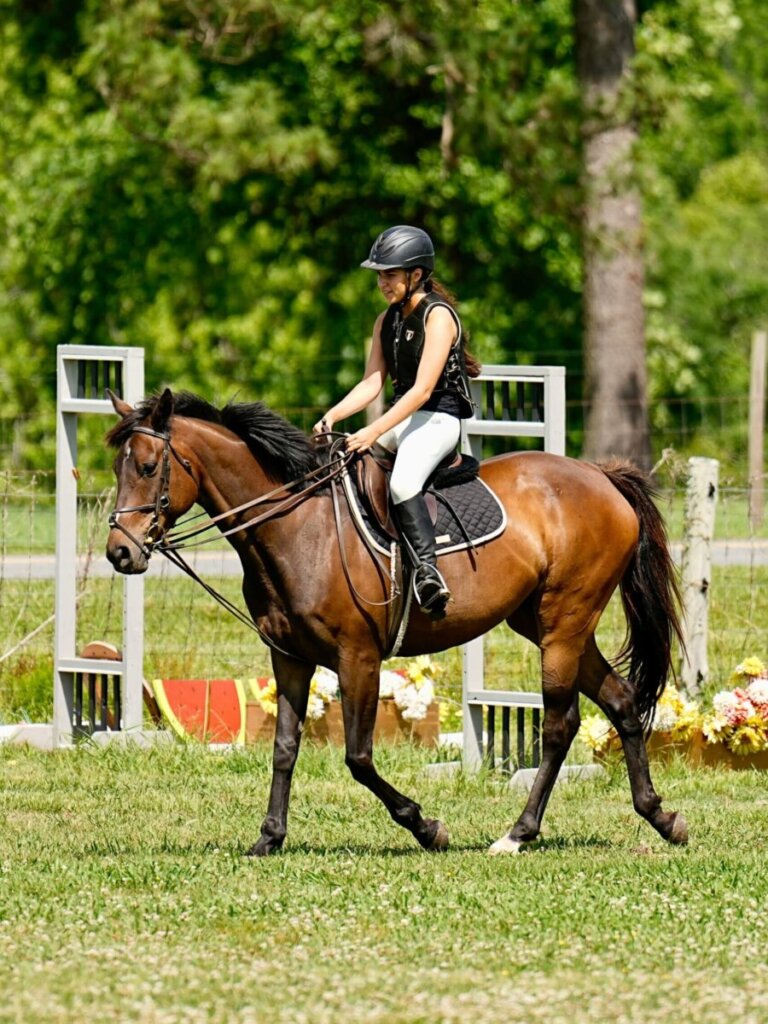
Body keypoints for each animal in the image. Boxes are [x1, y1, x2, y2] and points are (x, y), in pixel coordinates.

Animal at [105, 387, 688, 856]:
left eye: (149, 467)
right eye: (117, 469)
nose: (119, 552)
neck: (298, 526)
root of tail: (601, 476)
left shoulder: (357, 656)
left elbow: (358, 758)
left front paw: (427, 827)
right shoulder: (289, 658)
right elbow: (285, 749)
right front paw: (269, 837)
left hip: (563, 624)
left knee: (559, 725)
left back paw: (517, 834)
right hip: (551, 624)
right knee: (620, 701)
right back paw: (661, 817)